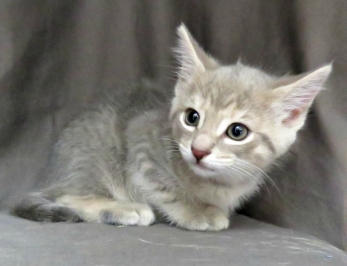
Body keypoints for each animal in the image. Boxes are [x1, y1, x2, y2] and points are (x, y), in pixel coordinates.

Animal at [11, 23, 332, 231]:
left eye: (237, 132)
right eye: (192, 117)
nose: (198, 150)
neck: (217, 184)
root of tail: (53, 171)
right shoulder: (140, 141)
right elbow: (164, 188)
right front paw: (197, 211)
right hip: (95, 158)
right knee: (65, 195)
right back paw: (122, 208)